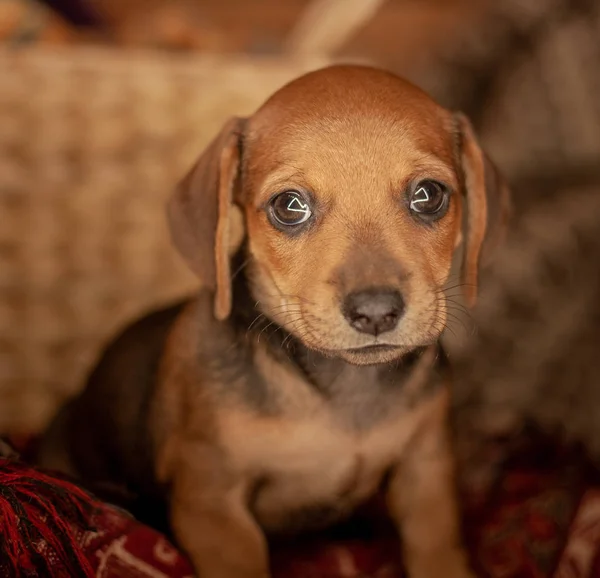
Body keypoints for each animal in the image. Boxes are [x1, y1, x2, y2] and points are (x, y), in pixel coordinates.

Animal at [36, 64, 506, 576]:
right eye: (290, 206)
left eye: (428, 195)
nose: (376, 312)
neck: (343, 391)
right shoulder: (212, 503)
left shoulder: (426, 470)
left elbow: (436, 546)